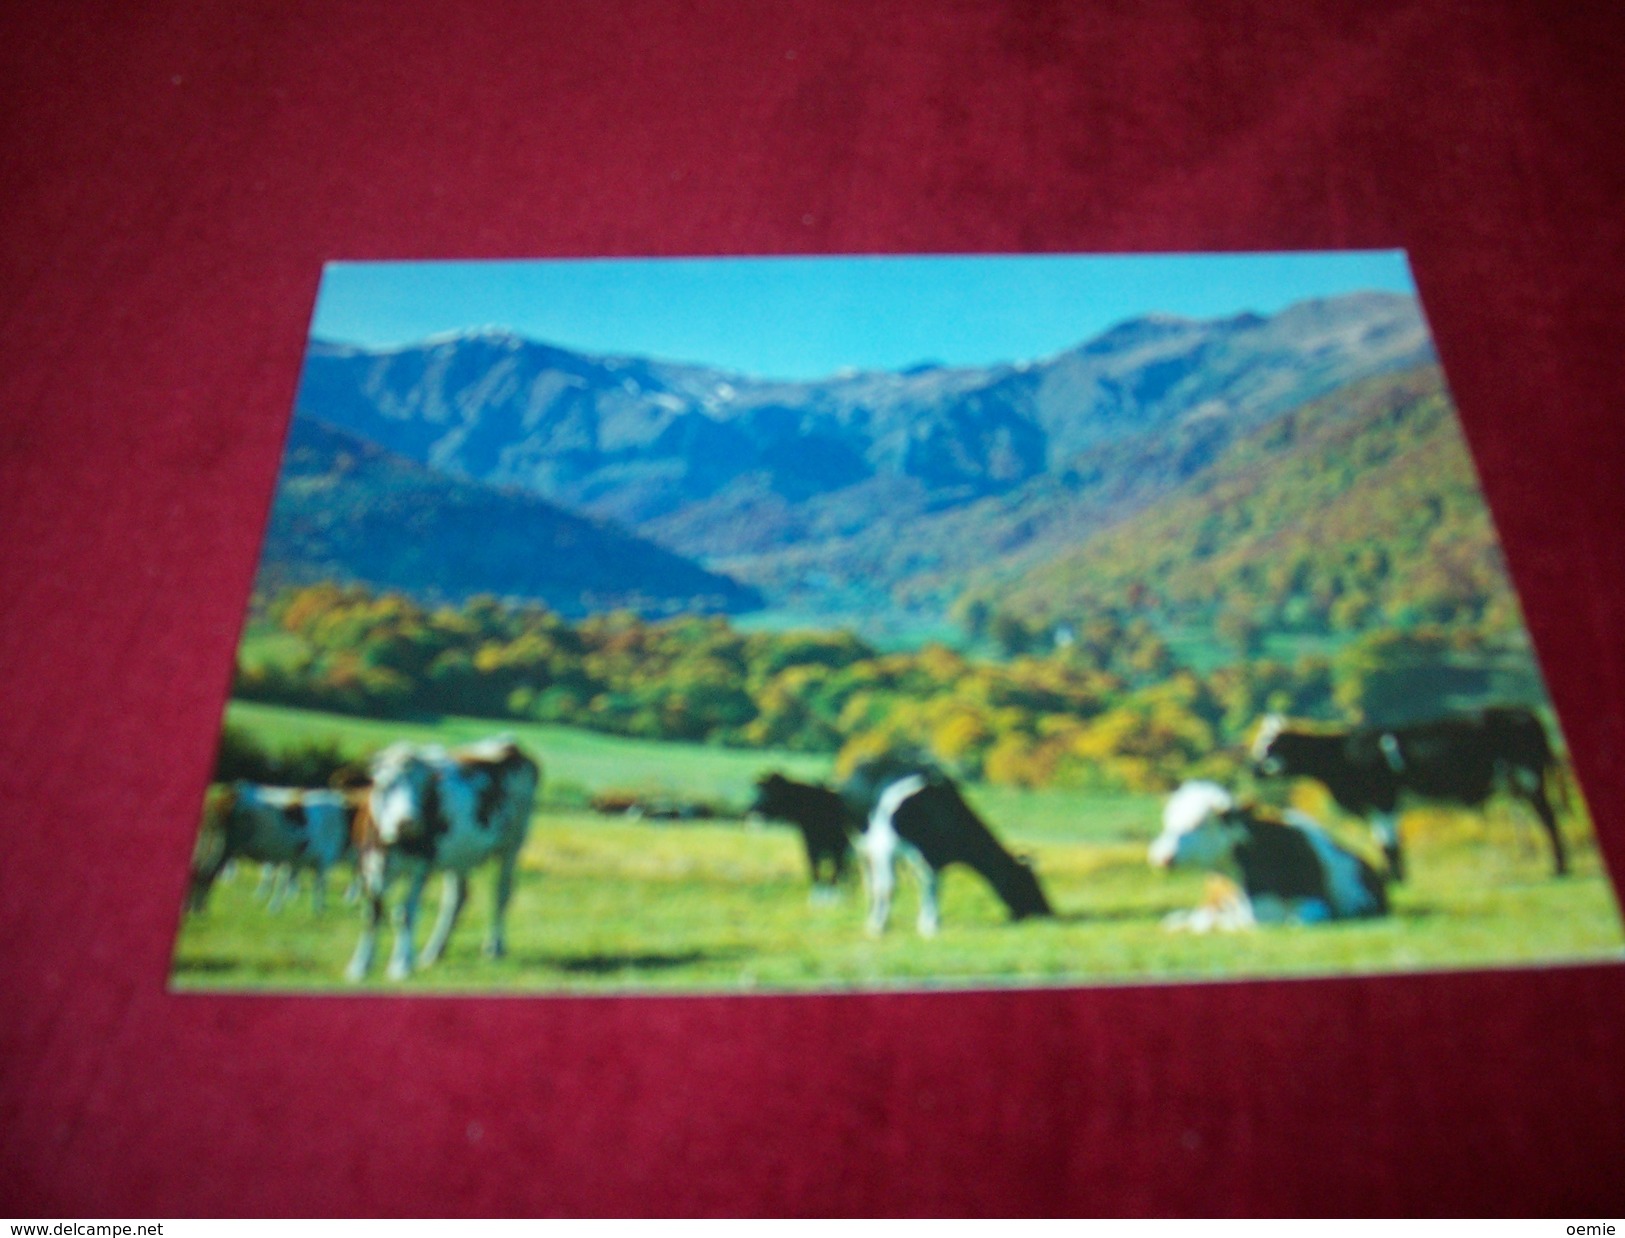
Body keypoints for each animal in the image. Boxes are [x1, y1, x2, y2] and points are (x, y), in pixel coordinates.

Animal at [347, 734, 539, 981]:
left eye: (422, 786)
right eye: (386, 784)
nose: (407, 822)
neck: (393, 843)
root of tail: (509, 744)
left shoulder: (421, 866)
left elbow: (405, 913)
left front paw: (401, 965)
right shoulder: (369, 866)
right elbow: (372, 914)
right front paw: (360, 966)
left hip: (512, 844)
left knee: (501, 894)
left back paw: (494, 947)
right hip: (460, 855)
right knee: (456, 898)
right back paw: (433, 952)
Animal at [838, 753, 1053, 935]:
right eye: (1028, 882)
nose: (1047, 912)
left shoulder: (933, 855)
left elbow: (933, 886)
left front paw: (930, 925)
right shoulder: (885, 844)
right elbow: (888, 887)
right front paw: (877, 928)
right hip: (861, 844)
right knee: (871, 882)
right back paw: (873, 919)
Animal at [1248, 705, 1566, 877]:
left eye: (1271, 745)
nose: (1251, 769)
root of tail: (1521, 711)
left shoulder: (1383, 799)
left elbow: (1389, 845)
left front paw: (1396, 881)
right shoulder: (1376, 806)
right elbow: (1383, 843)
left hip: (1529, 777)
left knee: (1548, 819)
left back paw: (1559, 868)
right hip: (1515, 783)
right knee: (1527, 818)